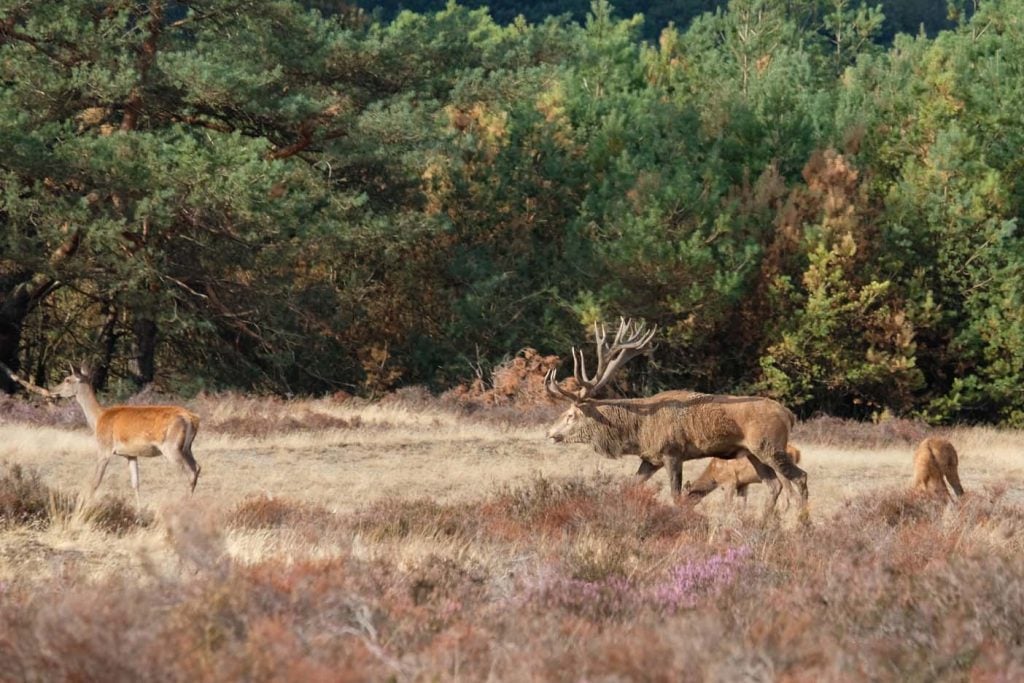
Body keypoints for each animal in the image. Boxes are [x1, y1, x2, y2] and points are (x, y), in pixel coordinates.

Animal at [51, 366, 201, 509]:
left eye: (67, 380)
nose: (53, 390)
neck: (98, 419)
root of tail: (192, 418)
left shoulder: (105, 448)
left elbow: (95, 481)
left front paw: (85, 505)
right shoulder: (130, 454)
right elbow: (135, 483)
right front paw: (139, 509)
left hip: (171, 446)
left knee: (189, 473)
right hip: (186, 448)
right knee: (197, 467)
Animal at [544, 319, 806, 518]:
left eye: (570, 415)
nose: (549, 433)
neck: (638, 432)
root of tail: (788, 414)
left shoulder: (672, 452)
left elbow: (676, 495)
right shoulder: (650, 458)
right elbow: (629, 486)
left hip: (769, 445)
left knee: (799, 478)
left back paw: (802, 523)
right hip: (754, 453)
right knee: (774, 485)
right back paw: (764, 522)